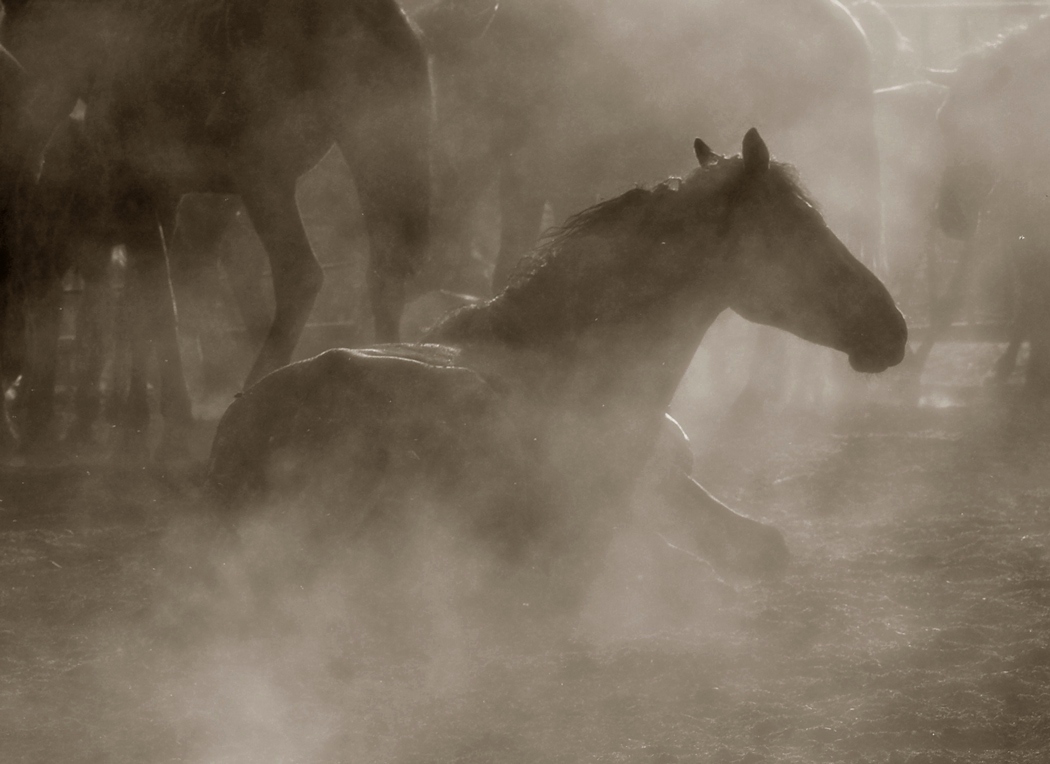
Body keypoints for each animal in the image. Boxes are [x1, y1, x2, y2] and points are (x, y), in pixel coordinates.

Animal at [0, 0, 432, 453]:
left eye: (13, 29)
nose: (24, 127)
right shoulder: (163, 194)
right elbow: (144, 298)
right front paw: (138, 407)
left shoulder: (138, 184)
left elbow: (156, 300)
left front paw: (169, 409)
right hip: (375, 151)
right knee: (385, 270)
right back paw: (385, 367)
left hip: (263, 174)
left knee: (301, 272)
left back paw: (253, 392)